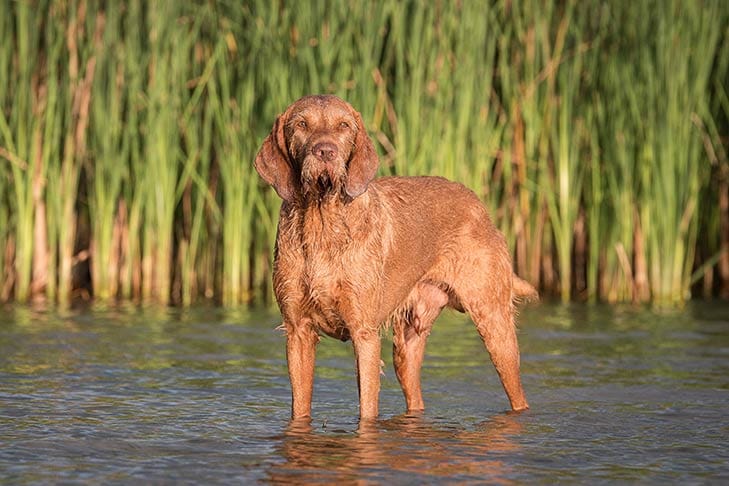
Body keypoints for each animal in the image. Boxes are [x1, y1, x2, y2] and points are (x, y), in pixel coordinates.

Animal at [256, 96, 536, 422]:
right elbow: (300, 408)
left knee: (517, 391)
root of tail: (479, 205)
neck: (322, 222)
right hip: (407, 344)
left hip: (494, 324)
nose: (325, 151)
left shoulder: (364, 333)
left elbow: (367, 408)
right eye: (301, 124)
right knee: (415, 395)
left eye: (343, 125)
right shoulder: (298, 331)